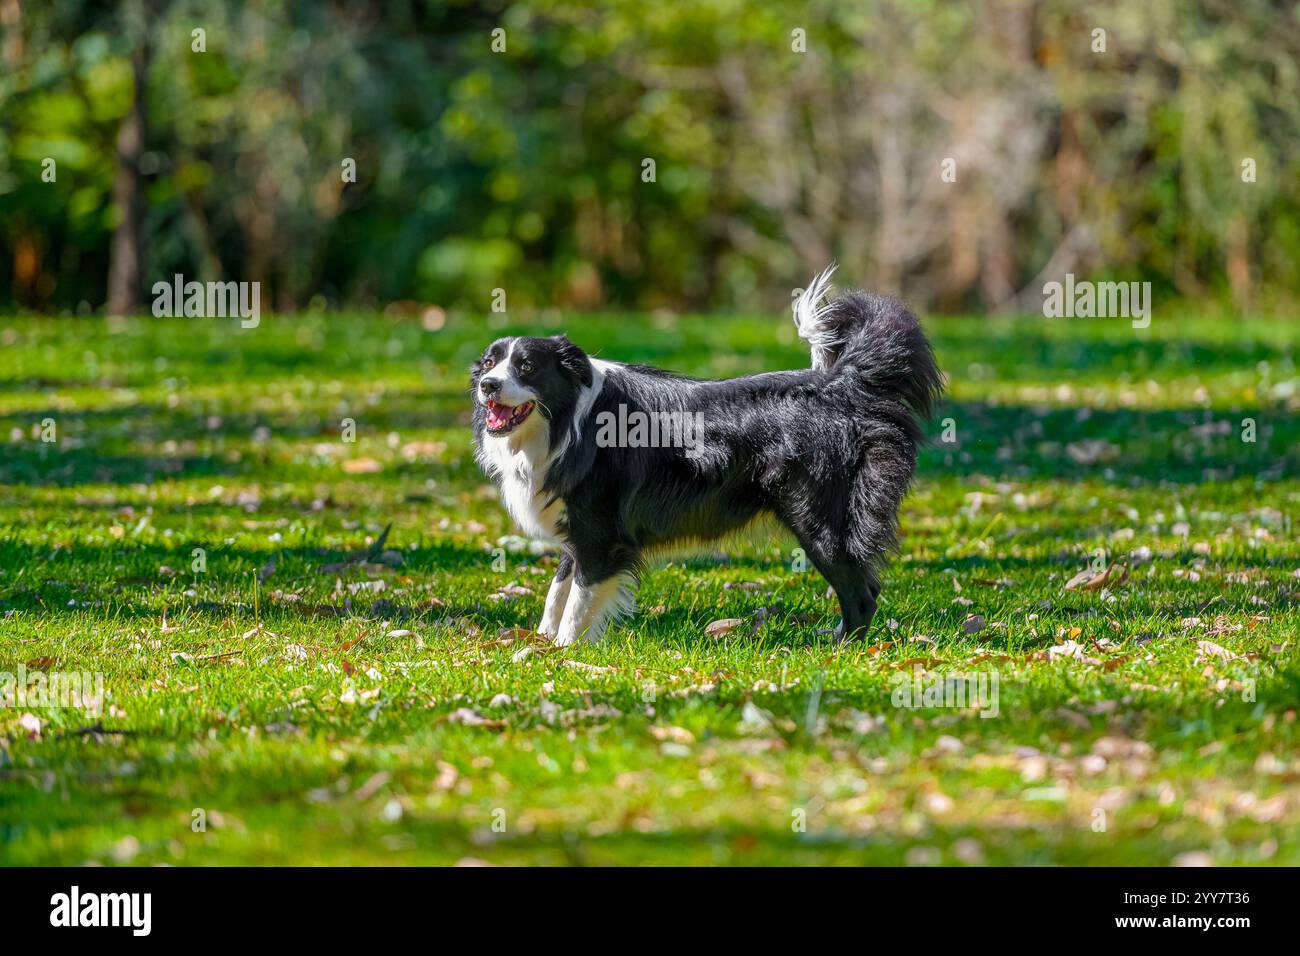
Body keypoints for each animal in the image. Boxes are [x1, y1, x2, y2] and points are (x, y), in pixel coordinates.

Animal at [473, 265, 941, 647]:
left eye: (527, 367)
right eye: (489, 364)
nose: (487, 386)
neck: (568, 420)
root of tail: (840, 385)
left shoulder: (600, 535)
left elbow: (578, 602)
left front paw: (561, 653)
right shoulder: (580, 528)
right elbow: (558, 590)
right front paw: (541, 640)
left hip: (819, 519)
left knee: (861, 594)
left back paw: (839, 650)